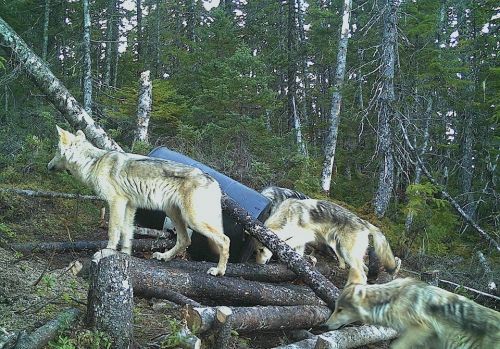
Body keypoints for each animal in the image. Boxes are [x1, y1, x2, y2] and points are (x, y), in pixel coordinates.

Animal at [47, 125, 230, 274]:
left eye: (56, 151)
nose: (48, 166)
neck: (93, 163)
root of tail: (214, 181)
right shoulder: (130, 206)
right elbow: (127, 233)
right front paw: (125, 255)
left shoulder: (116, 202)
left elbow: (113, 230)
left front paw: (107, 252)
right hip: (174, 215)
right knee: (185, 240)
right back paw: (164, 257)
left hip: (193, 220)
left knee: (225, 240)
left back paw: (219, 271)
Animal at [254, 197, 398, 284]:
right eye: (255, 252)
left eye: (261, 250)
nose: (258, 265)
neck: (286, 218)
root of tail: (364, 222)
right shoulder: (301, 241)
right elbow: (298, 254)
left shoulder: (305, 236)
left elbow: (287, 244)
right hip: (344, 252)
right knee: (364, 270)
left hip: (347, 253)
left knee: (362, 273)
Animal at [324, 278, 500, 348]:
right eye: (335, 308)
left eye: (340, 310)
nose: (324, 325)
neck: (391, 300)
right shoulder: (429, 341)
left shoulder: (421, 329)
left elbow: (395, 346)